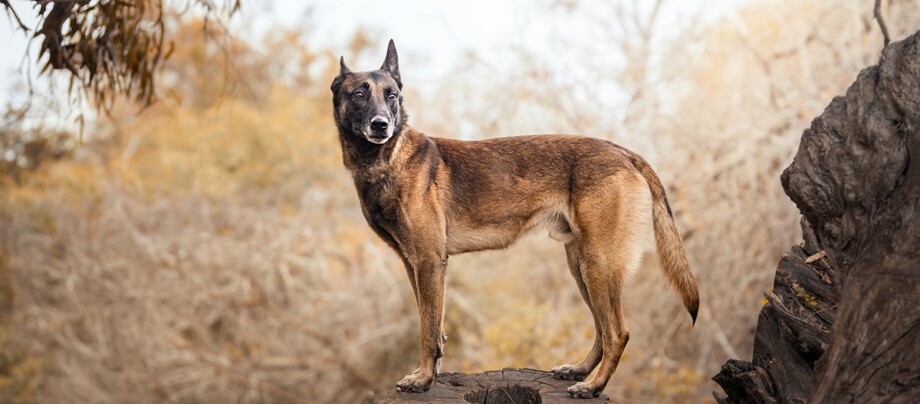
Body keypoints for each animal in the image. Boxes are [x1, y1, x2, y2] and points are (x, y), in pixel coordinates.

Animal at [330, 39, 696, 400]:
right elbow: (433, 325)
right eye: (359, 94)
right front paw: (430, 374)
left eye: (391, 95)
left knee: (617, 332)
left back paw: (593, 386)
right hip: (581, 266)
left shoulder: (429, 263)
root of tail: (625, 152)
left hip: (598, 264)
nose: (381, 125)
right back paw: (579, 371)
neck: (386, 160)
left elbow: (427, 330)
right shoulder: (414, 264)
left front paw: (423, 380)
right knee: (601, 329)